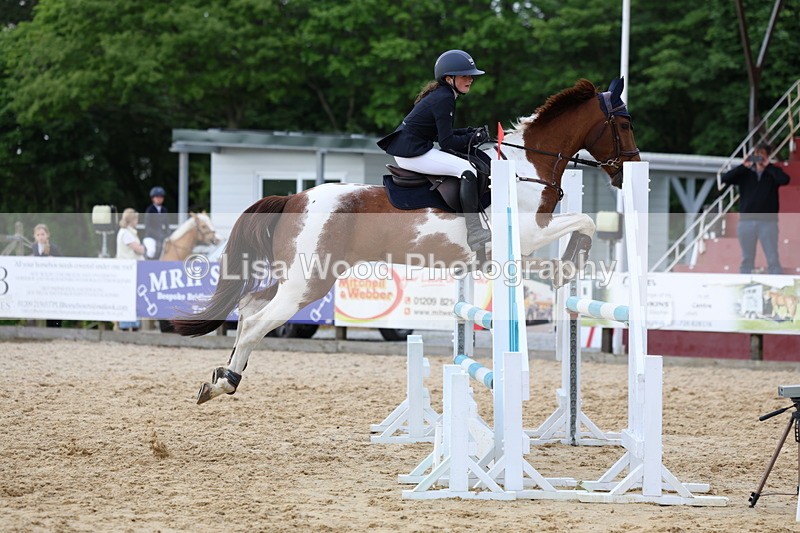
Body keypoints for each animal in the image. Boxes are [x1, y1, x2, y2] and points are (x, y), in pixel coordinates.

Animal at [172, 77, 641, 404]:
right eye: (623, 123)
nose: (630, 170)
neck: (527, 168)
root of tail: (294, 197)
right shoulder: (529, 232)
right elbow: (585, 222)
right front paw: (571, 264)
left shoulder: (521, 247)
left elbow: (565, 241)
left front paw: (563, 269)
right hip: (308, 282)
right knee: (257, 321)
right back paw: (224, 384)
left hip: (301, 278)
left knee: (250, 307)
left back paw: (221, 377)